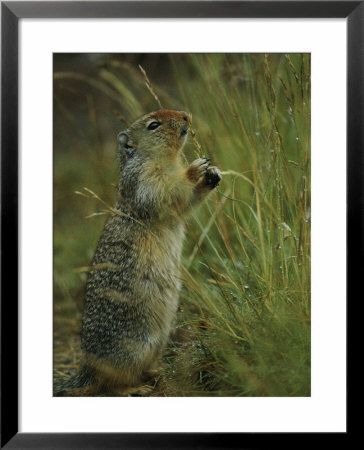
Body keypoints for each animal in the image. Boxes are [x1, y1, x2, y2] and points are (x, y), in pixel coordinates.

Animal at [68, 110, 220, 396]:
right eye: (153, 125)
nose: (186, 115)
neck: (166, 160)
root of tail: (87, 370)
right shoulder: (146, 180)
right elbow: (167, 193)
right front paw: (196, 168)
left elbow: (186, 202)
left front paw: (212, 173)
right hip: (134, 348)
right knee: (110, 384)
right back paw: (134, 388)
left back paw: (154, 373)